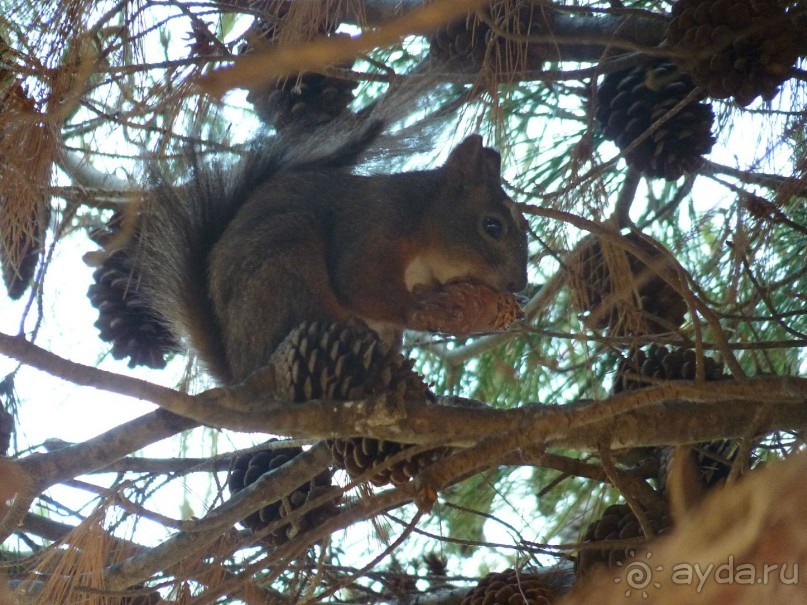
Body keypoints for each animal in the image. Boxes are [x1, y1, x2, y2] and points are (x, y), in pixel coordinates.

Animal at [98, 121, 532, 384]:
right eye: (492, 226)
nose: (519, 284)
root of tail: (242, 368)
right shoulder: (371, 227)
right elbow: (360, 282)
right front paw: (420, 309)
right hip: (287, 263)